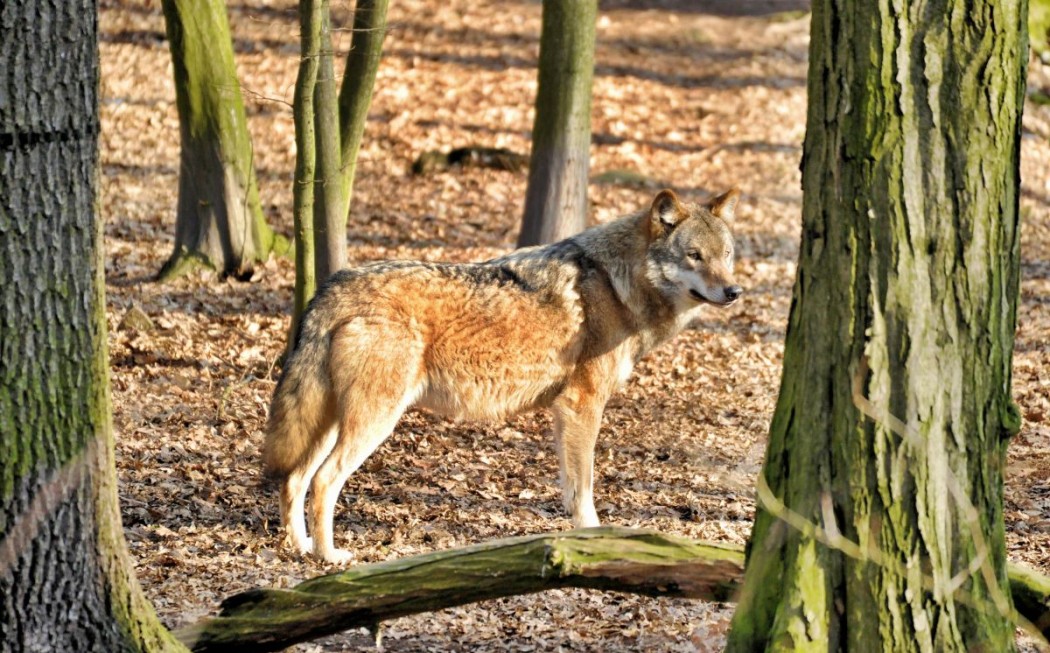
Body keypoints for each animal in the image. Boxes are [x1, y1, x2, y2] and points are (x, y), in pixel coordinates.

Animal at [264, 188, 743, 562]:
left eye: (726, 256)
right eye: (694, 256)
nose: (734, 291)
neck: (616, 284)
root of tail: (333, 286)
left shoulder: (565, 412)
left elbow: (570, 487)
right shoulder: (581, 405)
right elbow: (584, 488)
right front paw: (592, 538)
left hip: (332, 422)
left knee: (294, 479)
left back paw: (300, 548)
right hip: (372, 423)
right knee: (323, 481)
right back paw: (329, 556)